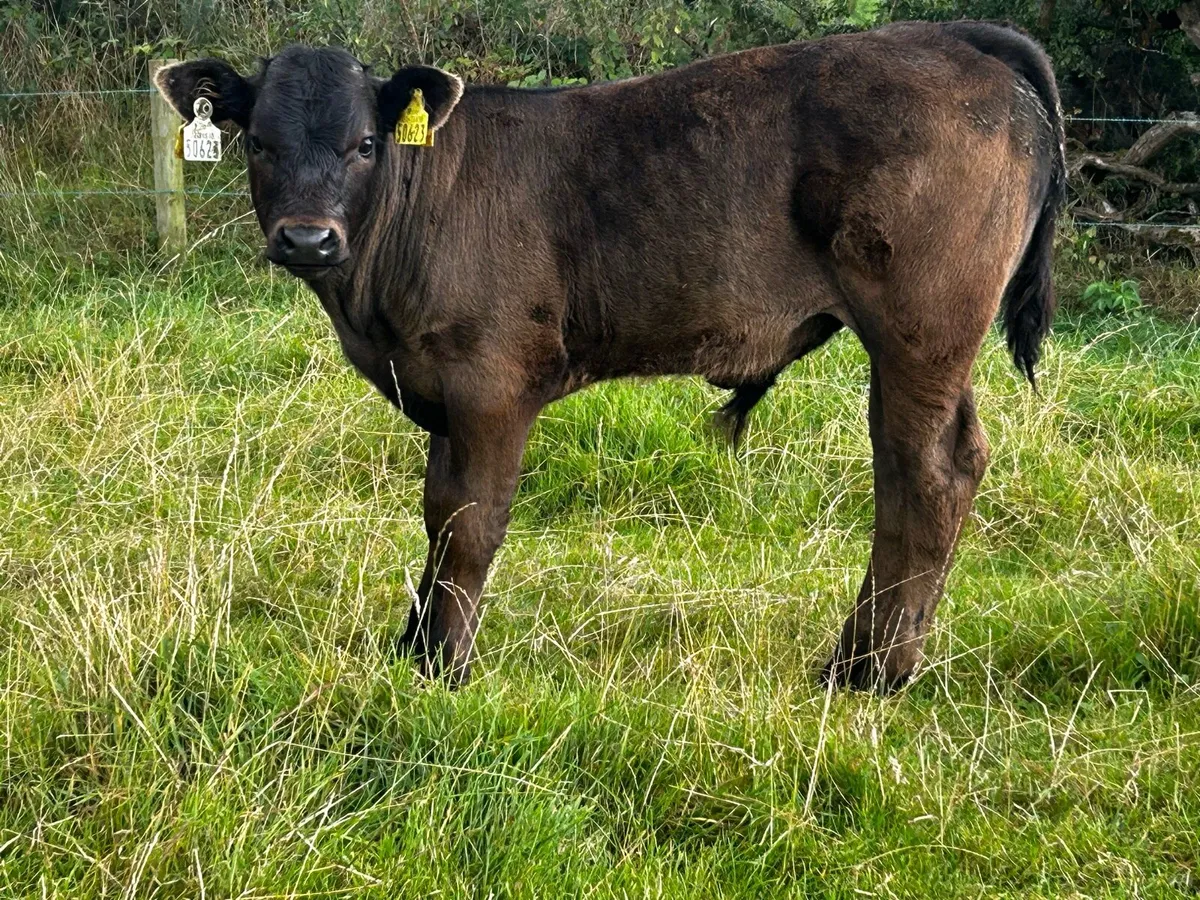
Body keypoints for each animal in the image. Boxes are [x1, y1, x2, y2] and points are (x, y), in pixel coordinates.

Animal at [155, 20, 1065, 693]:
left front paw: (446, 667)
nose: (307, 238)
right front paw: (413, 643)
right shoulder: (442, 388)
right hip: (935, 348)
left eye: (365, 145)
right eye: (257, 142)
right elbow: (437, 511)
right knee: (950, 462)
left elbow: (472, 522)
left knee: (923, 474)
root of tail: (951, 37)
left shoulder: (491, 380)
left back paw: (868, 671)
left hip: (919, 329)